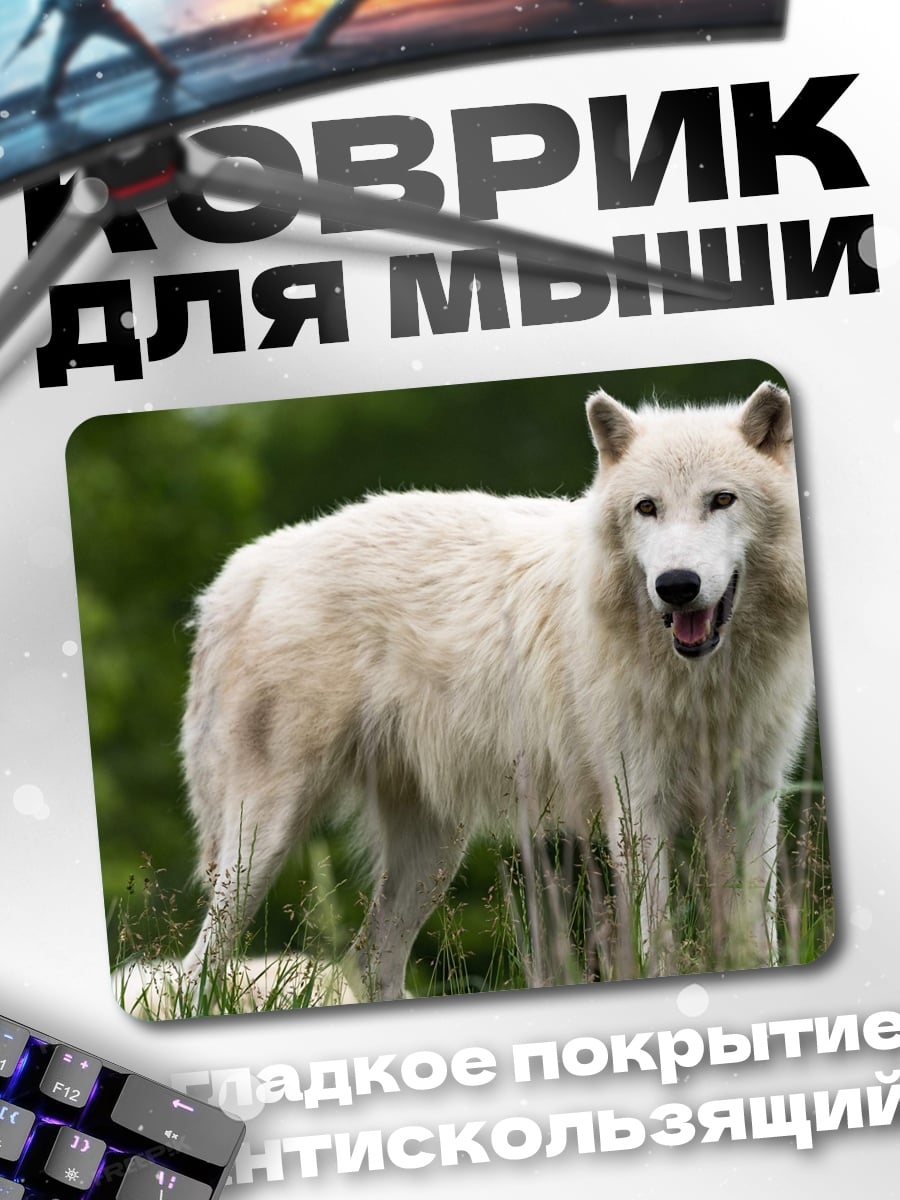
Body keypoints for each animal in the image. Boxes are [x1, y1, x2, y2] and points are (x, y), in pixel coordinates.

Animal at [179, 381, 814, 1000]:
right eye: (647, 507)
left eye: (722, 500)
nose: (676, 586)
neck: (704, 687)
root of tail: (246, 569)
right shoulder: (637, 807)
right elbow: (657, 944)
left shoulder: (752, 801)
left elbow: (756, 938)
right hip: (263, 841)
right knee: (199, 969)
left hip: (432, 850)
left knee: (368, 962)